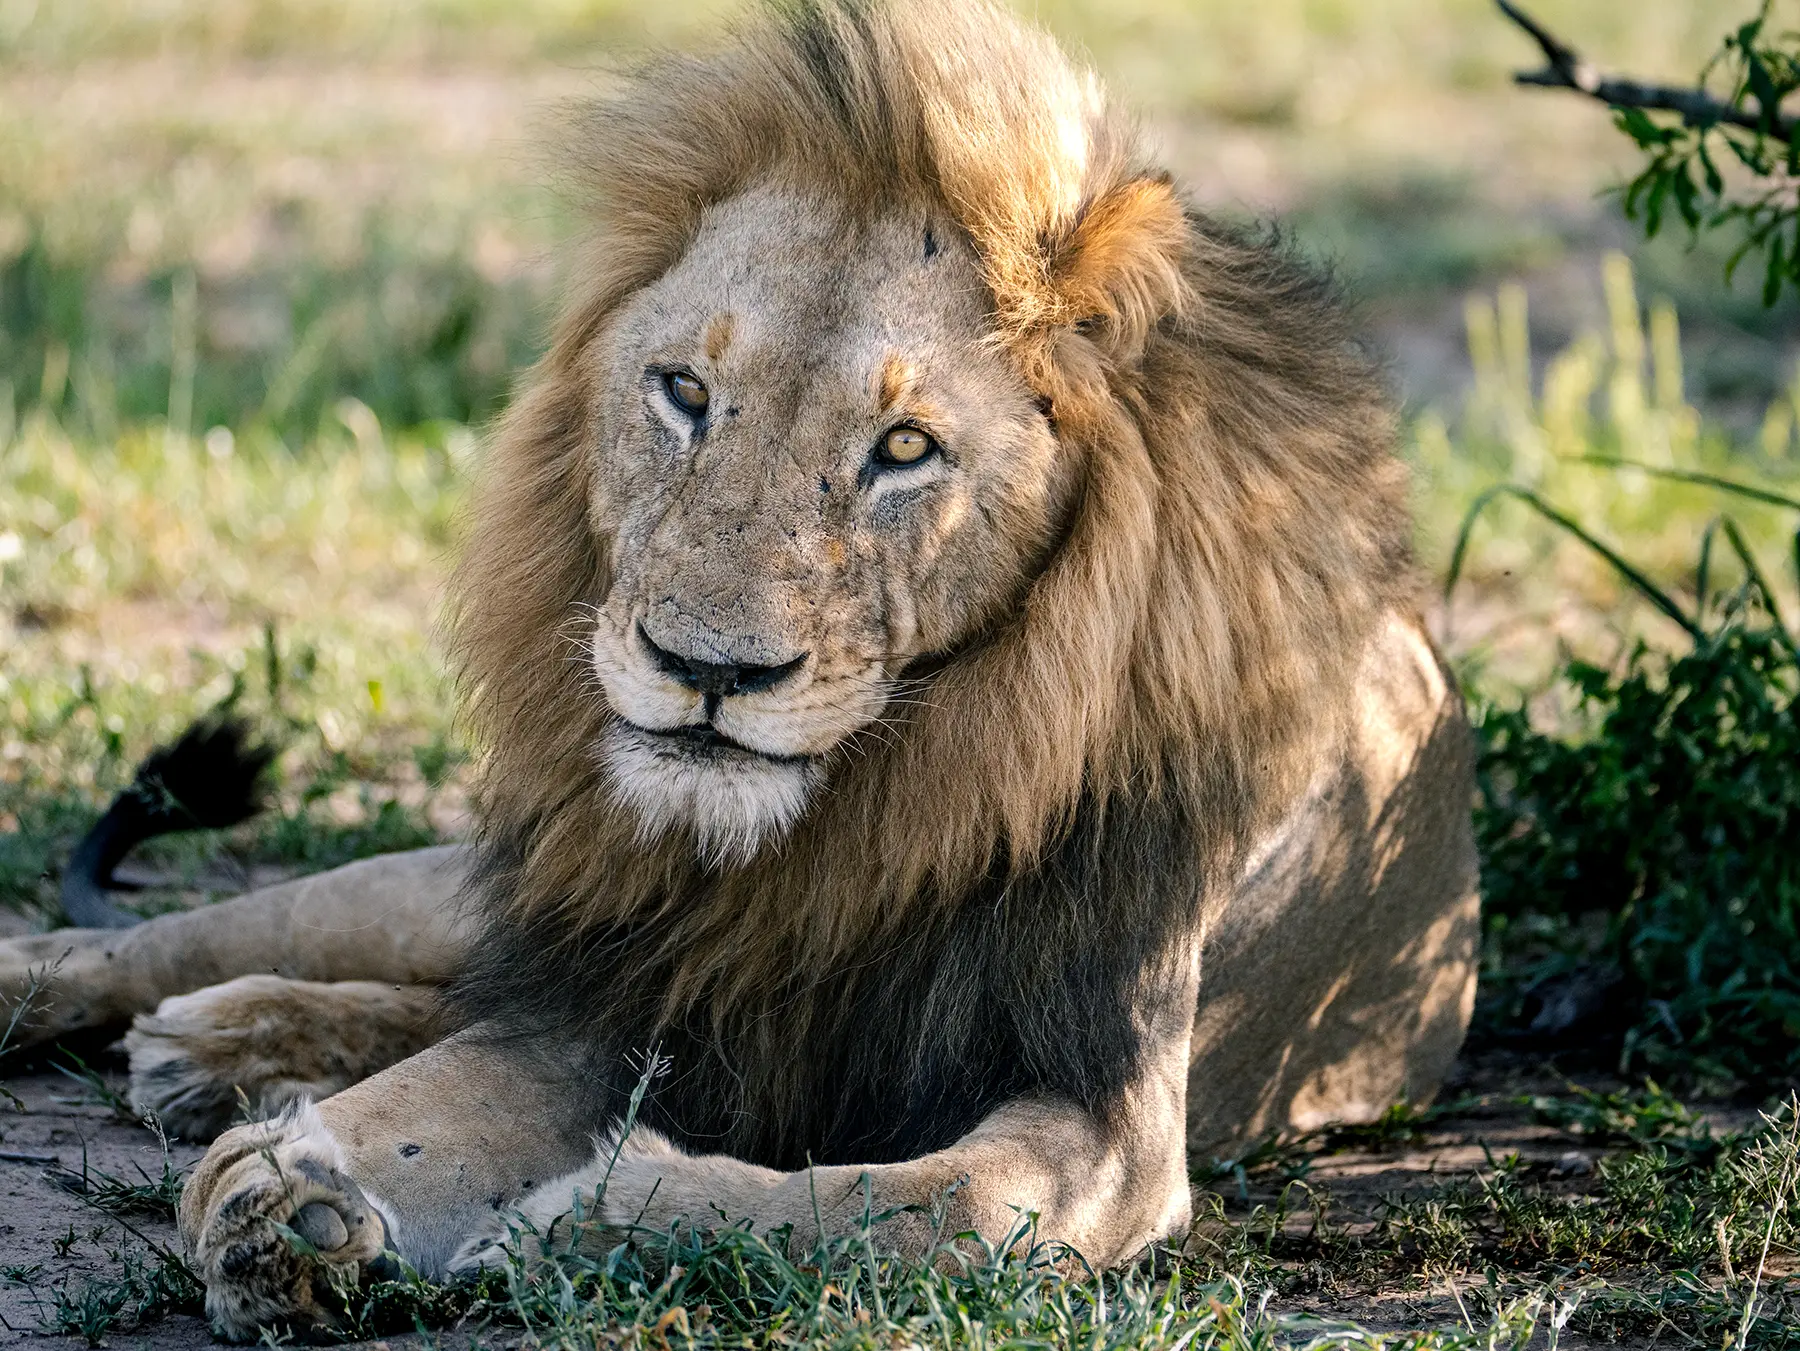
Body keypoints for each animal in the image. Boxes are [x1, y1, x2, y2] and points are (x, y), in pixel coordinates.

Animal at [0, 0, 1479, 1338]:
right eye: (684, 393)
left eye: (902, 448)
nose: (702, 667)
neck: (872, 812)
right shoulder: (650, 983)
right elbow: (442, 1088)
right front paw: (291, 1196)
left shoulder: (1113, 1116)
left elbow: (919, 1201)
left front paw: (572, 1223)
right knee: (200, 937)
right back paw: (166, 1027)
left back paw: (217, 1058)